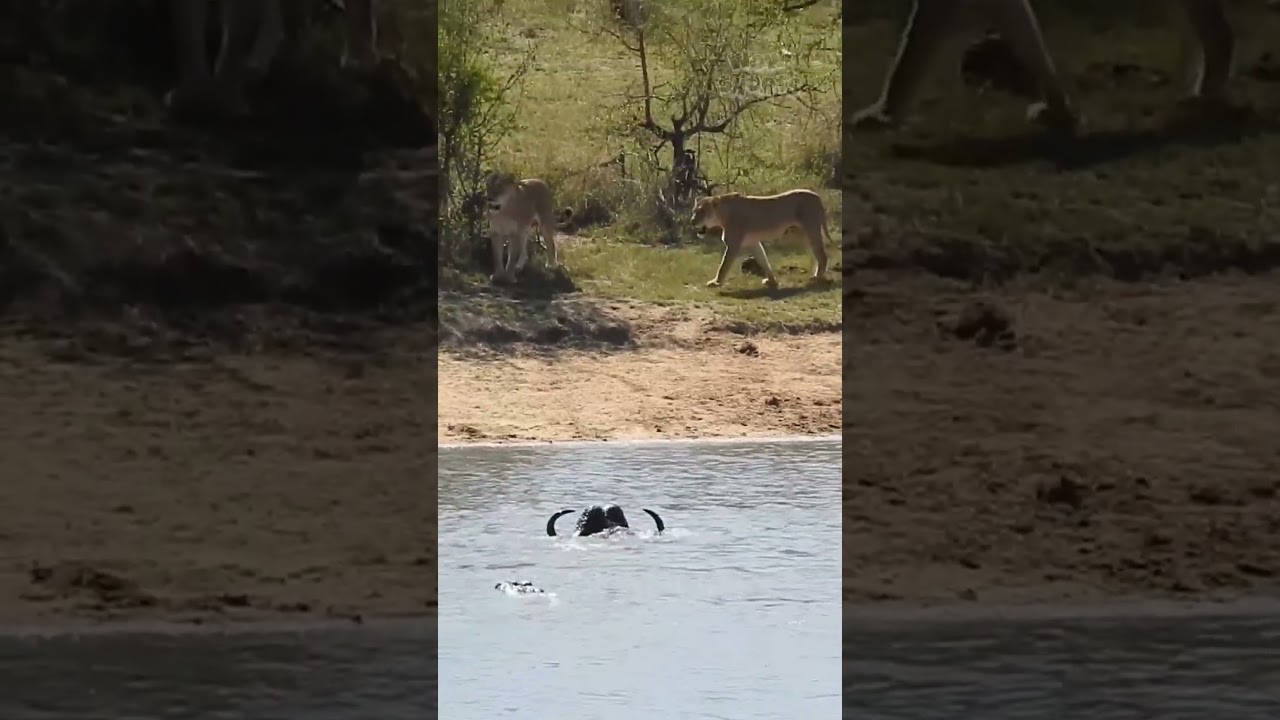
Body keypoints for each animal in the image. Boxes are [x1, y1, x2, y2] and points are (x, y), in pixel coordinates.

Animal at [165, 0, 378, 121]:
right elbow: (187, 33)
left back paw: (358, 61)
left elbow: (236, 38)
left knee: (359, 10)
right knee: (280, 20)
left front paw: (225, 100)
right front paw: (193, 94)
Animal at [689, 190, 833, 289]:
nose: (692, 221)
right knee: (818, 254)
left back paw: (817, 276)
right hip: (806, 233)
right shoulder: (753, 243)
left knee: (823, 255)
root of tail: (817, 196)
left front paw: (716, 282)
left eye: (702, 212)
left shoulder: (733, 244)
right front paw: (772, 281)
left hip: (811, 230)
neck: (722, 216)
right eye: (694, 211)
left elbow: (724, 265)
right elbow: (764, 260)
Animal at [848, 0, 1236, 136]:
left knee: (1220, 32)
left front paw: (882, 114)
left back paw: (1205, 96)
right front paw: (1061, 112)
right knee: (1219, 31)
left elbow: (913, 50)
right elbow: (1027, 37)